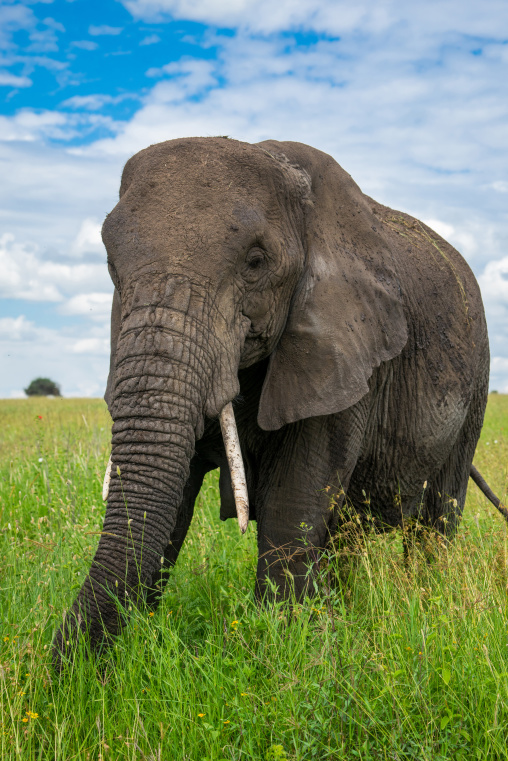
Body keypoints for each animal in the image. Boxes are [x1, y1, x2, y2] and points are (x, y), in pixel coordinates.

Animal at [53, 136, 505, 666]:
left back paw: (428, 604)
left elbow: (292, 499)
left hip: (477, 381)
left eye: (256, 261)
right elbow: (171, 504)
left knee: (437, 519)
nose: (53, 667)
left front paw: (288, 649)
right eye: (109, 265)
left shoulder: (349, 345)